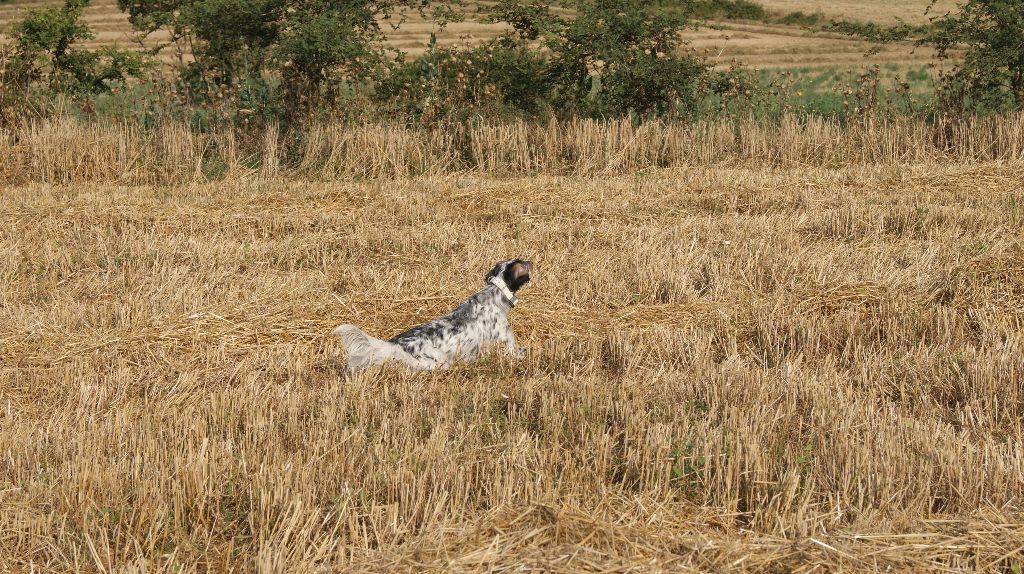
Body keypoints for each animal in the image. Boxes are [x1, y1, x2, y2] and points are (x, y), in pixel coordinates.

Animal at [333, 258, 532, 374]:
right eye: (523, 262)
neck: (494, 295)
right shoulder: (510, 348)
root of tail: (394, 345)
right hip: (439, 362)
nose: (530, 261)